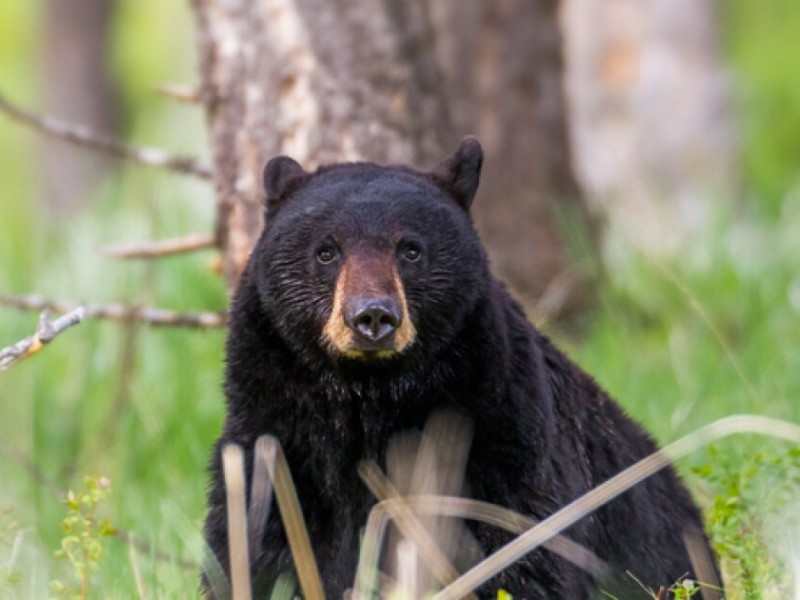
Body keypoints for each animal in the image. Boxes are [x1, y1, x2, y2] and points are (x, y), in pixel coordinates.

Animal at [205, 138, 720, 596]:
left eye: (410, 249)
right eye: (326, 251)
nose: (373, 317)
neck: (369, 398)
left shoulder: (499, 428)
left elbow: (523, 544)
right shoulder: (276, 434)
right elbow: (252, 537)